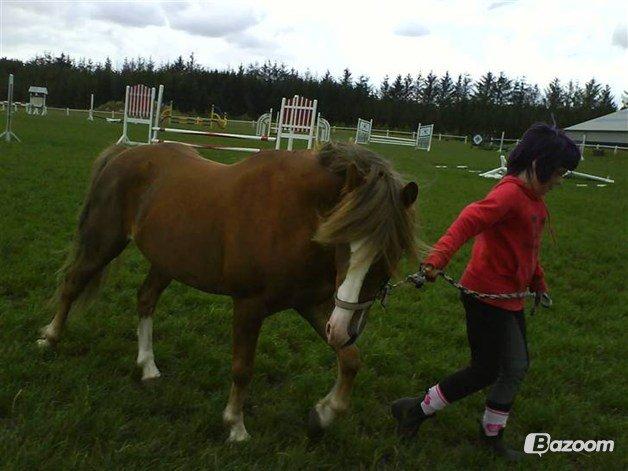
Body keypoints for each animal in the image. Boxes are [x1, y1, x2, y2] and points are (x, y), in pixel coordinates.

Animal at [38, 141, 418, 442]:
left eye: (392, 253)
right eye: (343, 241)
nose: (345, 329)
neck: (294, 215)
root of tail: (124, 152)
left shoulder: (313, 304)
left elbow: (351, 360)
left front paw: (323, 415)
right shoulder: (250, 305)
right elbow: (242, 368)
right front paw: (235, 426)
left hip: (166, 261)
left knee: (145, 299)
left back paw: (147, 366)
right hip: (104, 241)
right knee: (72, 283)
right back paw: (50, 338)